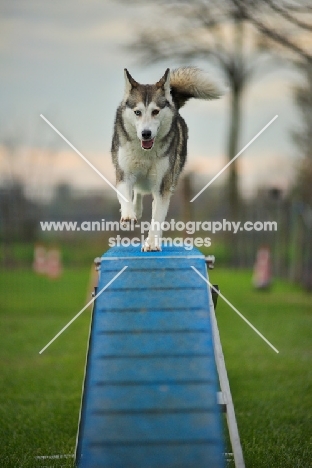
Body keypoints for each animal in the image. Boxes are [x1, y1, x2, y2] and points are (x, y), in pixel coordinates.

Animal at [111, 67, 223, 250]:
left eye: (155, 111)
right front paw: (128, 215)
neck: (145, 152)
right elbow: (125, 195)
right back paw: (136, 210)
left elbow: (157, 217)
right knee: (138, 190)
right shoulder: (123, 173)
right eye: (137, 112)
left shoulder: (162, 183)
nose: (146, 133)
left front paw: (151, 243)